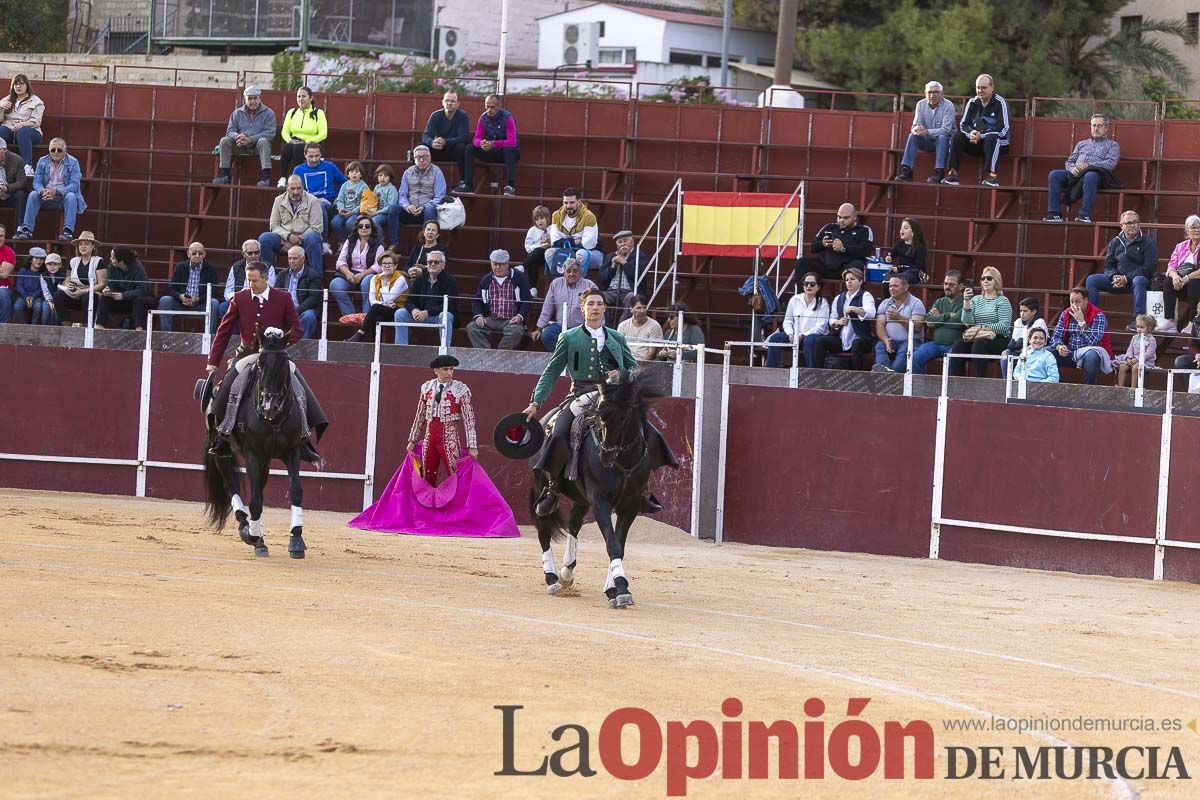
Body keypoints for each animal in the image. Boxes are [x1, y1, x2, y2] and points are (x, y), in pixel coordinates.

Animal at [204, 328, 312, 561]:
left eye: (283, 364)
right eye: (260, 364)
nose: (269, 405)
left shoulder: (292, 452)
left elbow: (296, 491)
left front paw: (296, 539)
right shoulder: (253, 454)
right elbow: (254, 500)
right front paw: (253, 536)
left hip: (265, 459)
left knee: (259, 486)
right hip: (222, 451)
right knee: (231, 484)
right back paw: (249, 530)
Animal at [525, 371, 662, 609]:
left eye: (624, 417)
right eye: (599, 414)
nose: (605, 455)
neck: (623, 461)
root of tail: (544, 422)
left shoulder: (630, 506)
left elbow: (619, 545)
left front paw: (614, 590)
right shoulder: (599, 500)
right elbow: (612, 543)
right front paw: (621, 589)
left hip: (581, 498)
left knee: (574, 523)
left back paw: (567, 573)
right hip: (540, 484)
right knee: (543, 528)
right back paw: (552, 579)